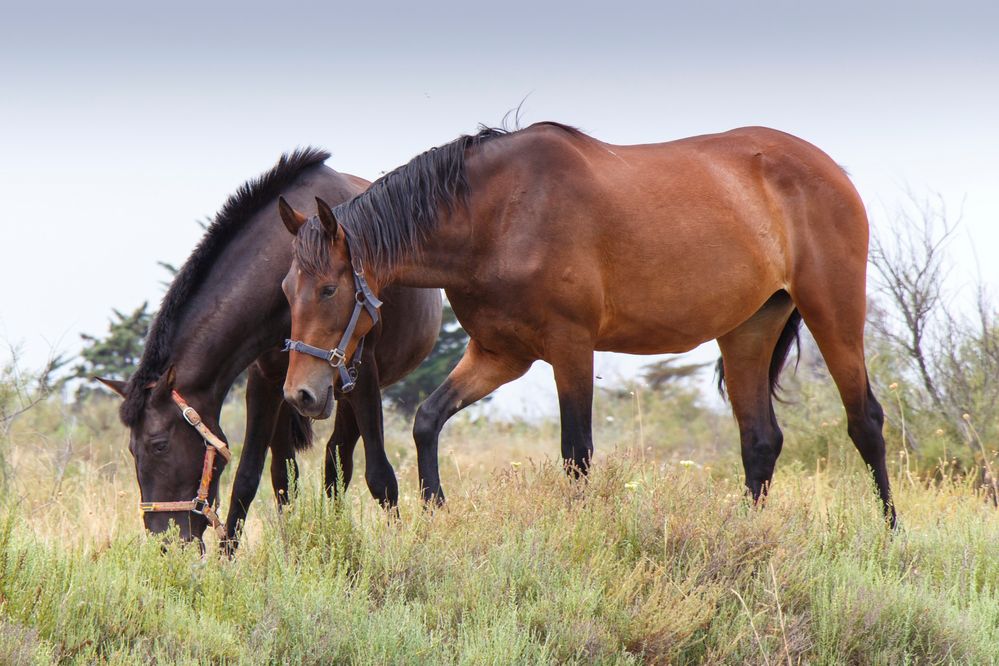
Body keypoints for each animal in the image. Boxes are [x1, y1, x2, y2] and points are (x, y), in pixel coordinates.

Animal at [98, 150, 442, 544]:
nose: (164, 540)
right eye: (131, 449)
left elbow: (380, 477)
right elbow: (249, 479)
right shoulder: (264, 380)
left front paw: (399, 547)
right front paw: (228, 555)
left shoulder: (363, 373)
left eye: (159, 445)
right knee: (291, 471)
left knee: (337, 460)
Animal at [280, 122, 900, 520]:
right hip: (748, 329)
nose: (301, 394)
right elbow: (428, 421)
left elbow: (575, 454)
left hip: (834, 310)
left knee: (865, 422)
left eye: (330, 289)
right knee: (760, 442)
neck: (498, 215)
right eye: (287, 290)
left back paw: (890, 537)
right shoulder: (500, 355)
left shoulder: (570, 349)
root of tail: (830, 169)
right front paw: (436, 516)